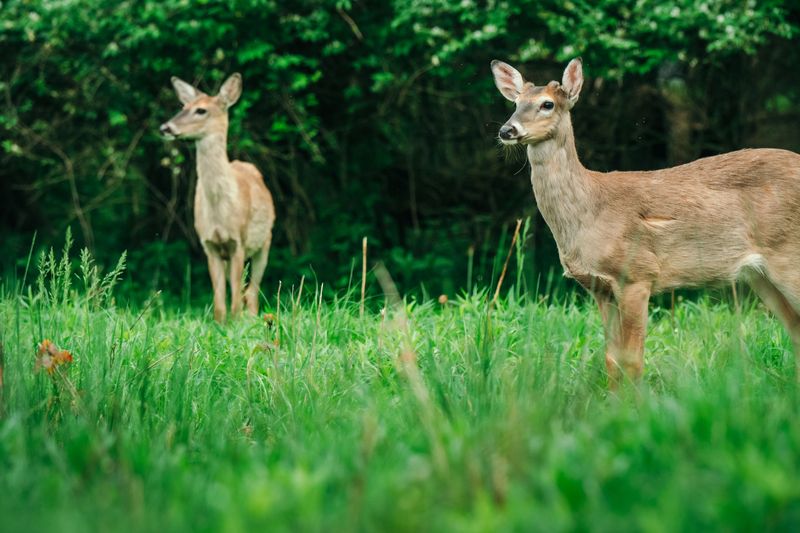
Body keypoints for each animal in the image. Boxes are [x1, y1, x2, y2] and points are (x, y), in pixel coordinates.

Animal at [159, 73, 275, 323]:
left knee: (252, 292)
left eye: (201, 110)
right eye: (183, 107)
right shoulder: (209, 244)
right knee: (244, 291)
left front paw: (236, 324)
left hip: (264, 243)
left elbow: (235, 299)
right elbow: (220, 302)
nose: (165, 127)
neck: (219, 209)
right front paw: (221, 325)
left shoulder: (238, 241)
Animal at [491, 57, 800, 387]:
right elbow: (612, 360)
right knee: (795, 329)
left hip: (788, 255)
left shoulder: (638, 273)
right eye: (515, 103)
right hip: (760, 276)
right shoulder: (599, 287)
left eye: (547, 104)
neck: (589, 211)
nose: (507, 129)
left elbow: (633, 361)